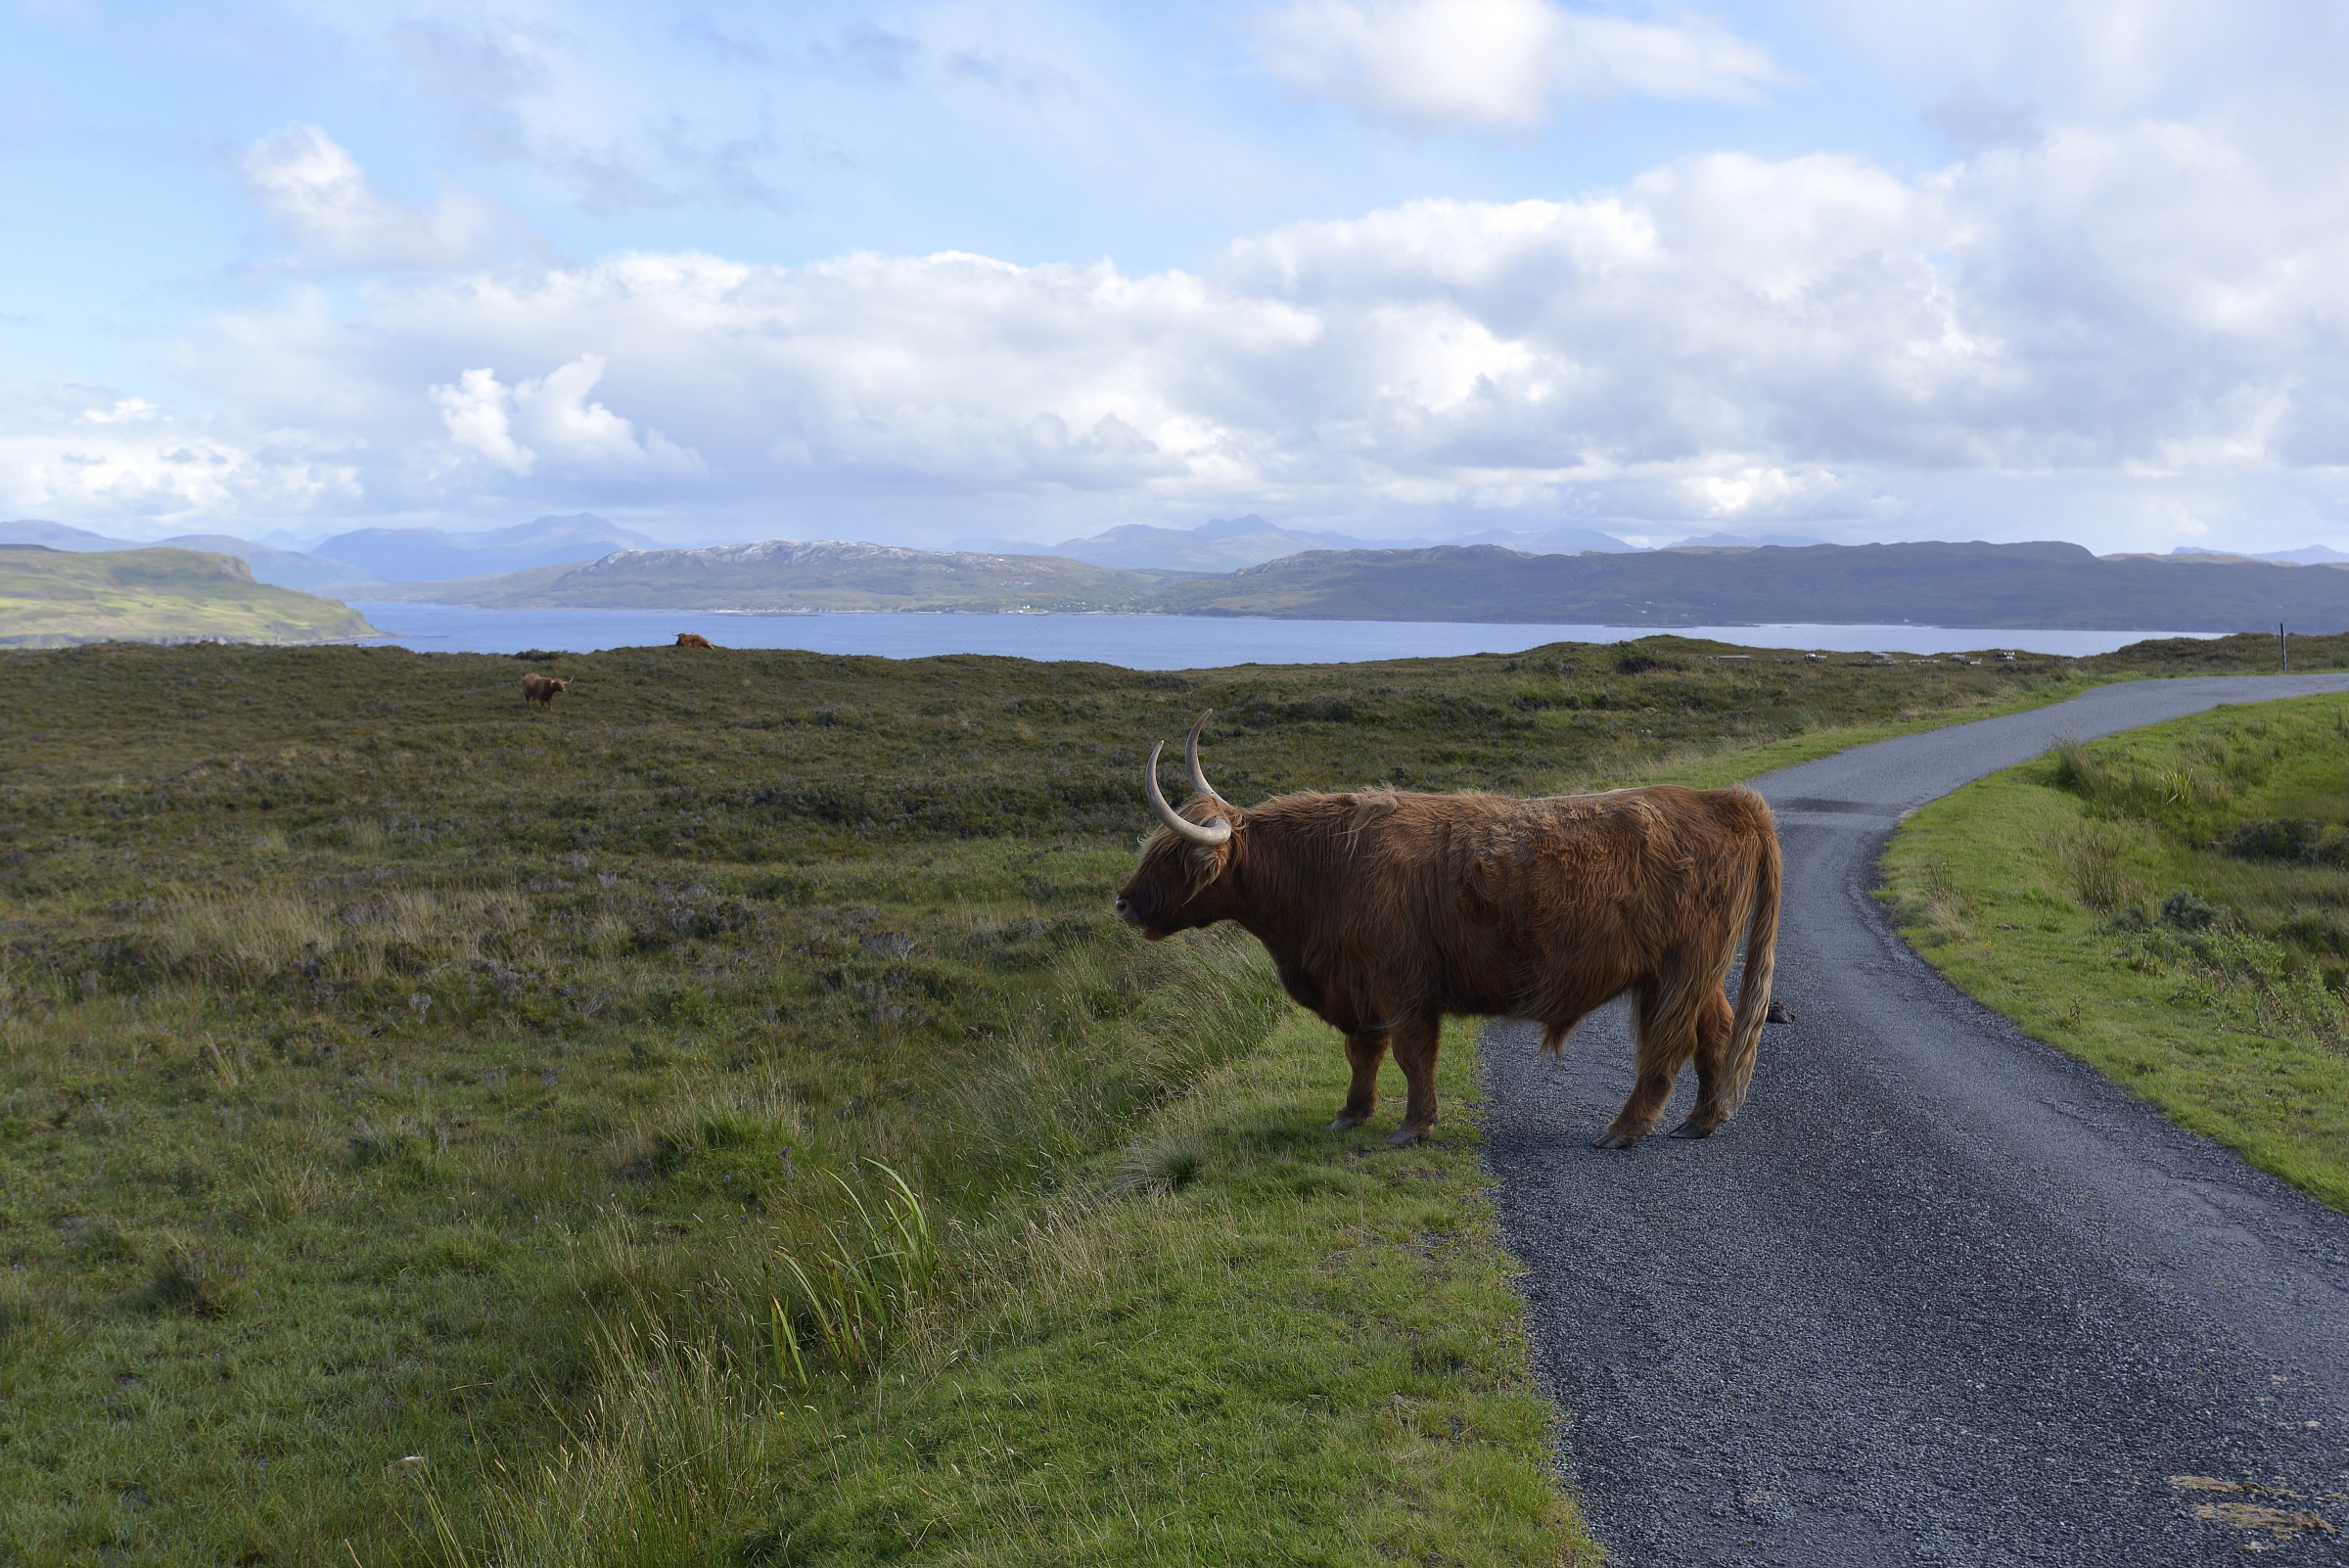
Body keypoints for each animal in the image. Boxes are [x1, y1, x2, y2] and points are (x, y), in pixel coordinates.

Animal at [1114, 715, 1780, 1149]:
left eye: (1174, 858)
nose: (1124, 903)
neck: (1324, 873)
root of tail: (1726, 800)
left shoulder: (1402, 985)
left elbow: (1412, 1055)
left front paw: (1414, 1127)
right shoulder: (1360, 988)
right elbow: (1363, 1052)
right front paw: (1352, 1114)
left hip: (1679, 969)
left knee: (1668, 1045)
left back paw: (1624, 1130)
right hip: (1701, 972)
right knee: (1717, 1032)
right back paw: (1702, 1120)